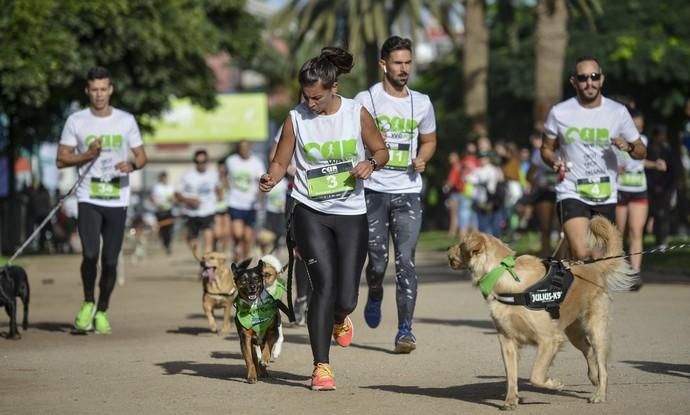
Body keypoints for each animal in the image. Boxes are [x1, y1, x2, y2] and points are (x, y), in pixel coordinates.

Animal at [446, 216, 636, 412]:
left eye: (461, 243)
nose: (447, 249)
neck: (504, 274)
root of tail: (595, 267)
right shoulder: (507, 341)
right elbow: (511, 376)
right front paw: (511, 400)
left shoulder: (549, 339)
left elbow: (535, 375)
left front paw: (554, 383)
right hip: (573, 332)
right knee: (588, 350)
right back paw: (593, 377)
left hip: (596, 330)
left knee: (602, 365)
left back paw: (600, 393)